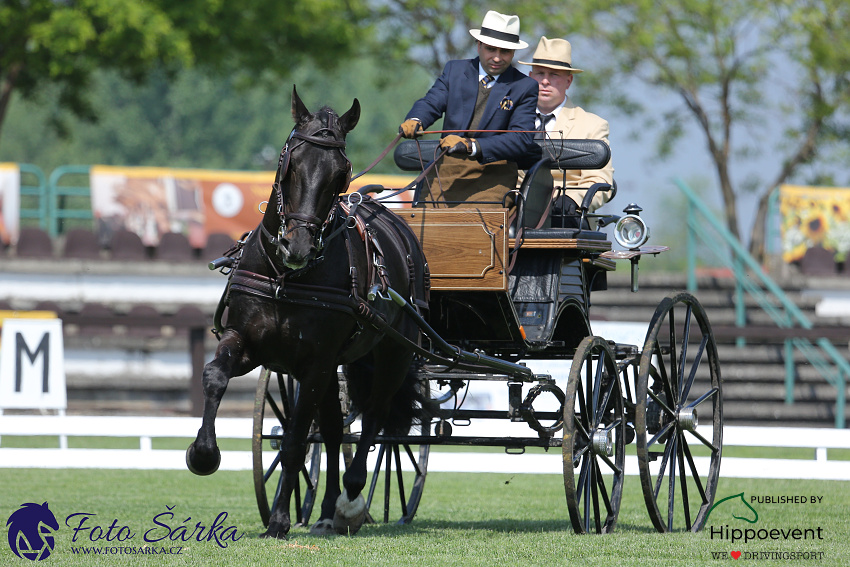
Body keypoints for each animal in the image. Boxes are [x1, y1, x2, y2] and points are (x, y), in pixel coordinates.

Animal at [184, 86, 424, 540]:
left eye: (340, 173)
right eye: (291, 163)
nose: (296, 247)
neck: (287, 277)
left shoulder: (316, 362)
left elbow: (296, 439)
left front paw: (279, 520)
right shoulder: (250, 344)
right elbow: (214, 377)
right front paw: (203, 453)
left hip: (393, 352)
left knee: (374, 416)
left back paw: (350, 496)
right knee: (331, 430)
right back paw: (328, 512)